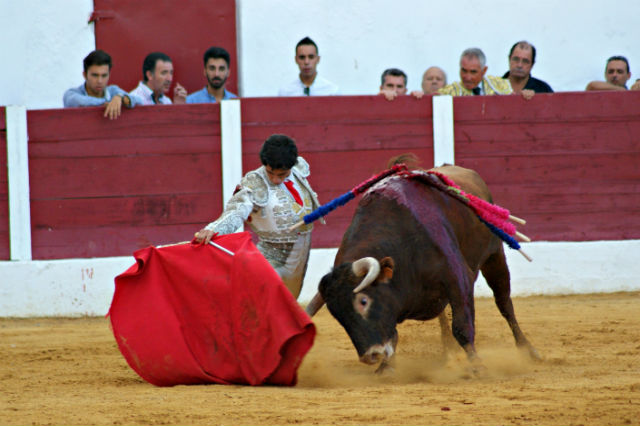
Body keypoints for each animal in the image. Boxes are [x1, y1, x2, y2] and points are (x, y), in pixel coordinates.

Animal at [306, 161, 540, 372]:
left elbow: (462, 326)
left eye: (363, 301)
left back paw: (528, 351)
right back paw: (449, 352)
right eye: (337, 315)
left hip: (494, 256)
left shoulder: (458, 278)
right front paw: (386, 368)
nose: (370, 356)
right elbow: (394, 334)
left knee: (504, 304)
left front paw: (477, 365)